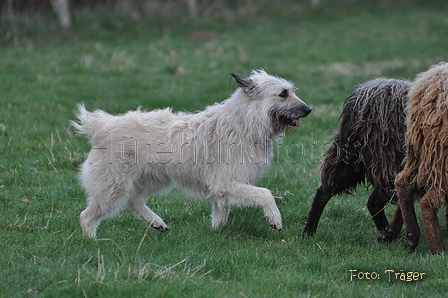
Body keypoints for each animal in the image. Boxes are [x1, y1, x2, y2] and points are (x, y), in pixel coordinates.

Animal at [73, 70, 312, 237]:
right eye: (283, 94)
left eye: (290, 91)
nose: (309, 109)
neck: (245, 122)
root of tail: (101, 125)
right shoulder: (226, 182)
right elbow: (265, 193)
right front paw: (275, 219)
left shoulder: (221, 187)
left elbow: (221, 211)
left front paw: (216, 233)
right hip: (113, 186)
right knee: (86, 216)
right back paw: (92, 242)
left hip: (154, 179)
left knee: (134, 201)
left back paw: (156, 223)